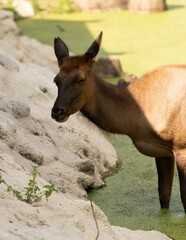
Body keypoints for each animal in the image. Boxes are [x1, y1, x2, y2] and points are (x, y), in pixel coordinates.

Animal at [51, 31, 186, 212]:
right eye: (56, 80)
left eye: (81, 79)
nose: (57, 111)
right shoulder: (162, 151)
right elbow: (164, 196)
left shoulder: (181, 146)